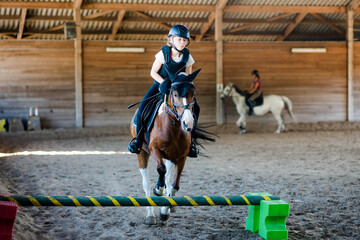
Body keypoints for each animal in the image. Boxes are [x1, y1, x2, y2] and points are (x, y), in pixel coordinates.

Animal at [130, 68, 202, 225]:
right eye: (175, 94)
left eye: (193, 94)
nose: (188, 123)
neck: (173, 127)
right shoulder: (154, 149)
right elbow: (160, 169)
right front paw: (159, 190)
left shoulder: (182, 156)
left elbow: (175, 185)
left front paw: (165, 210)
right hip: (142, 152)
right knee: (146, 182)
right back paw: (150, 215)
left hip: (171, 156)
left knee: (168, 178)